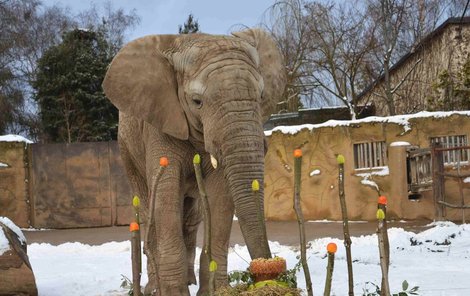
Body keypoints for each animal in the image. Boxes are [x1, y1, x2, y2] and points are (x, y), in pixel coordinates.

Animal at [103, 28, 286, 296]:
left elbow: (221, 197)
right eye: (197, 101)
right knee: (150, 211)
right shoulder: (160, 121)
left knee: (190, 218)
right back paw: (154, 287)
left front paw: (216, 291)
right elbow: (166, 195)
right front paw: (174, 293)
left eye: (261, 96)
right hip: (127, 150)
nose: (269, 271)